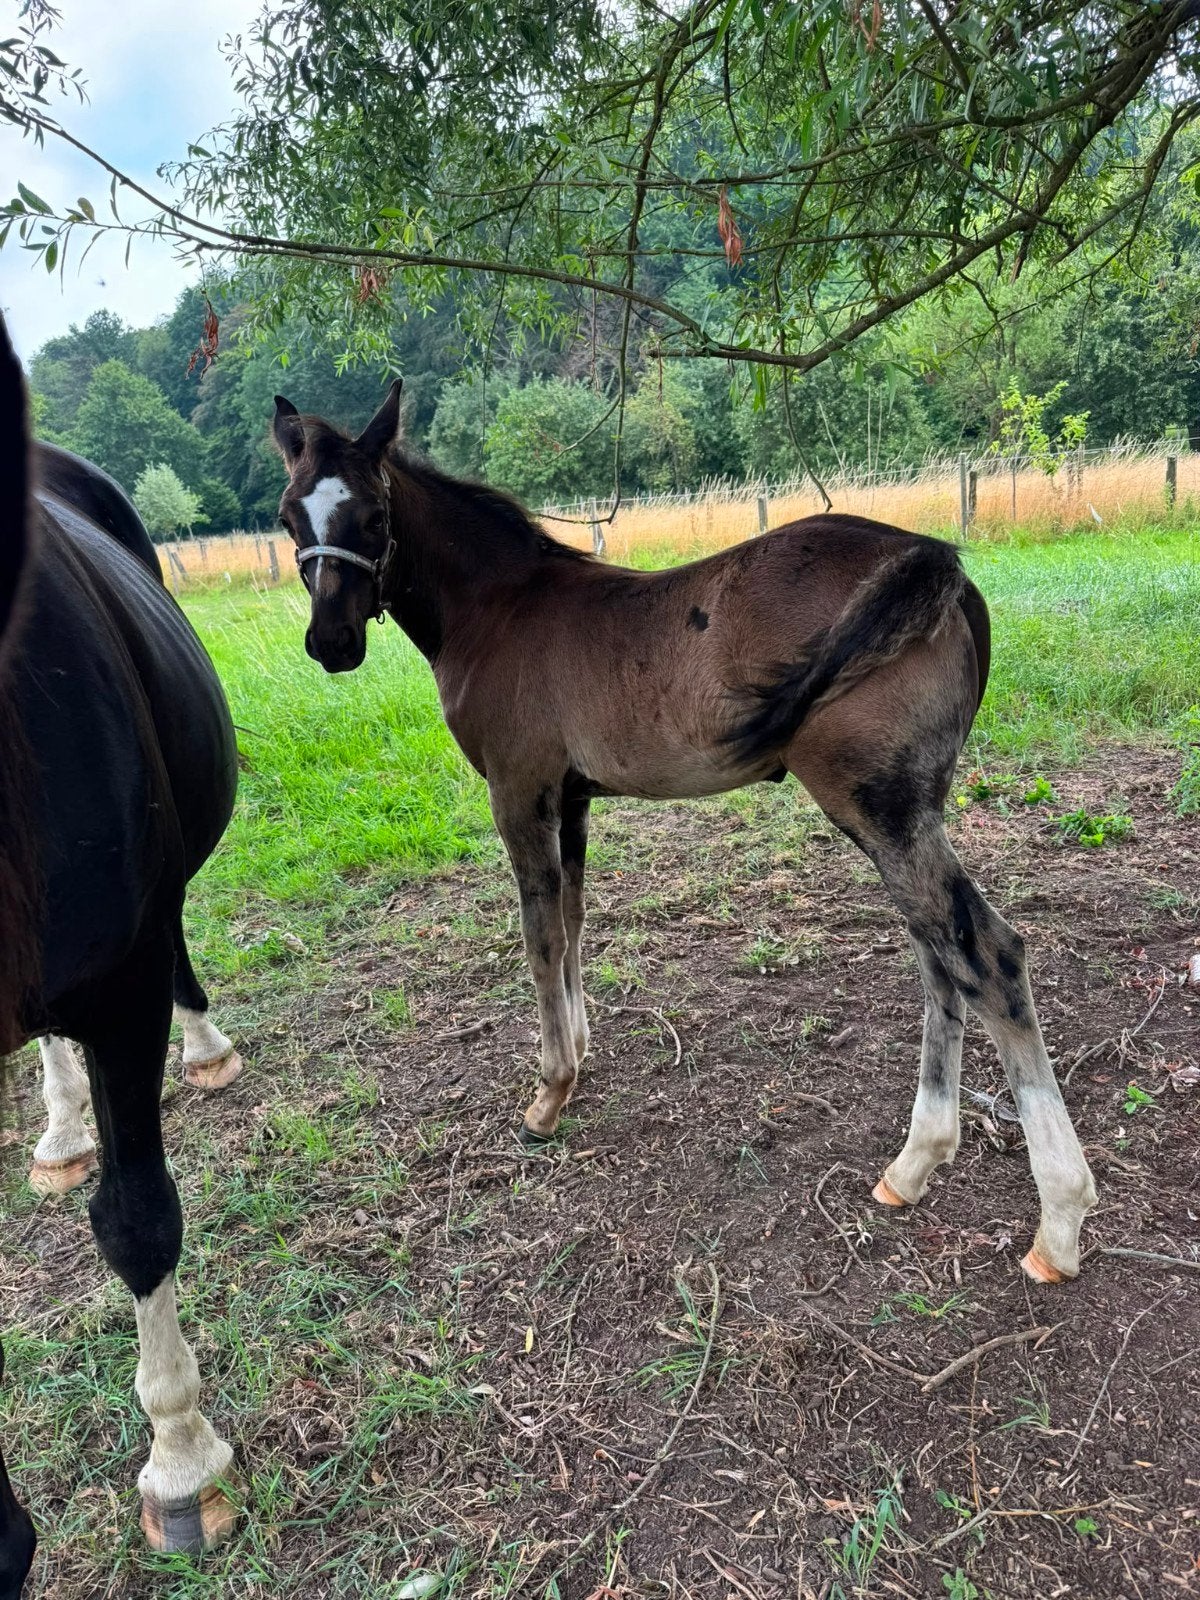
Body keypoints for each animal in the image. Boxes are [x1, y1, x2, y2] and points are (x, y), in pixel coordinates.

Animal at [271, 382, 1097, 1287]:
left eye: (374, 514)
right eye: (287, 517)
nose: (331, 643)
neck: (499, 608)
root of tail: (933, 560)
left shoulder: (519, 793)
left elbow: (538, 938)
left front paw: (549, 1094)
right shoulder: (573, 800)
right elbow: (572, 924)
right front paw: (581, 1051)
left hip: (880, 810)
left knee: (987, 954)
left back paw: (1058, 1222)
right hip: (903, 814)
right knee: (937, 956)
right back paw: (912, 1166)